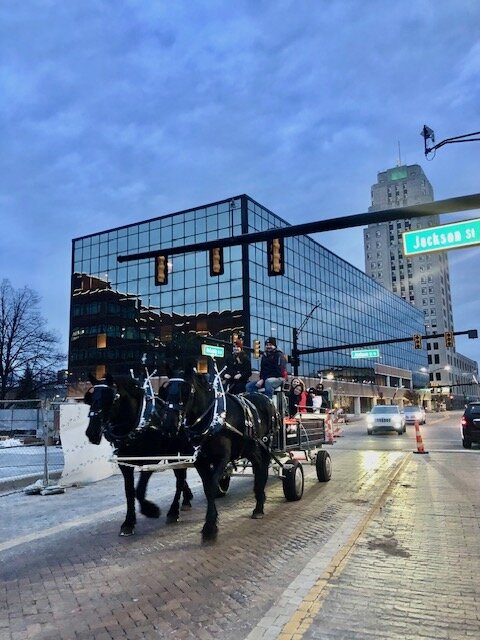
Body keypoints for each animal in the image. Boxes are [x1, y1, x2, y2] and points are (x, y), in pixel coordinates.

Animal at [85, 372, 194, 536]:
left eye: (110, 398)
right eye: (91, 399)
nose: (91, 432)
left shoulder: (149, 460)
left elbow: (140, 490)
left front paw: (151, 510)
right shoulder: (125, 464)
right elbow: (129, 492)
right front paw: (128, 522)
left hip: (183, 450)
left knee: (180, 478)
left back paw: (173, 511)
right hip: (172, 453)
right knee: (180, 475)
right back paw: (186, 498)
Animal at [165, 368, 282, 544]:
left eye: (185, 390)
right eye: (167, 389)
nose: (171, 424)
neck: (212, 419)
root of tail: (267, 399)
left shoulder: (222, 458)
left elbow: (212, 486)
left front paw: (209, 527)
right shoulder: (200, 461)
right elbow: (207, 488)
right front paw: (208, 524)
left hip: (265, 444)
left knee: (262, 469)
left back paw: (259, 507)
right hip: (252, 449)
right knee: (259, 468)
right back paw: (259, 501)